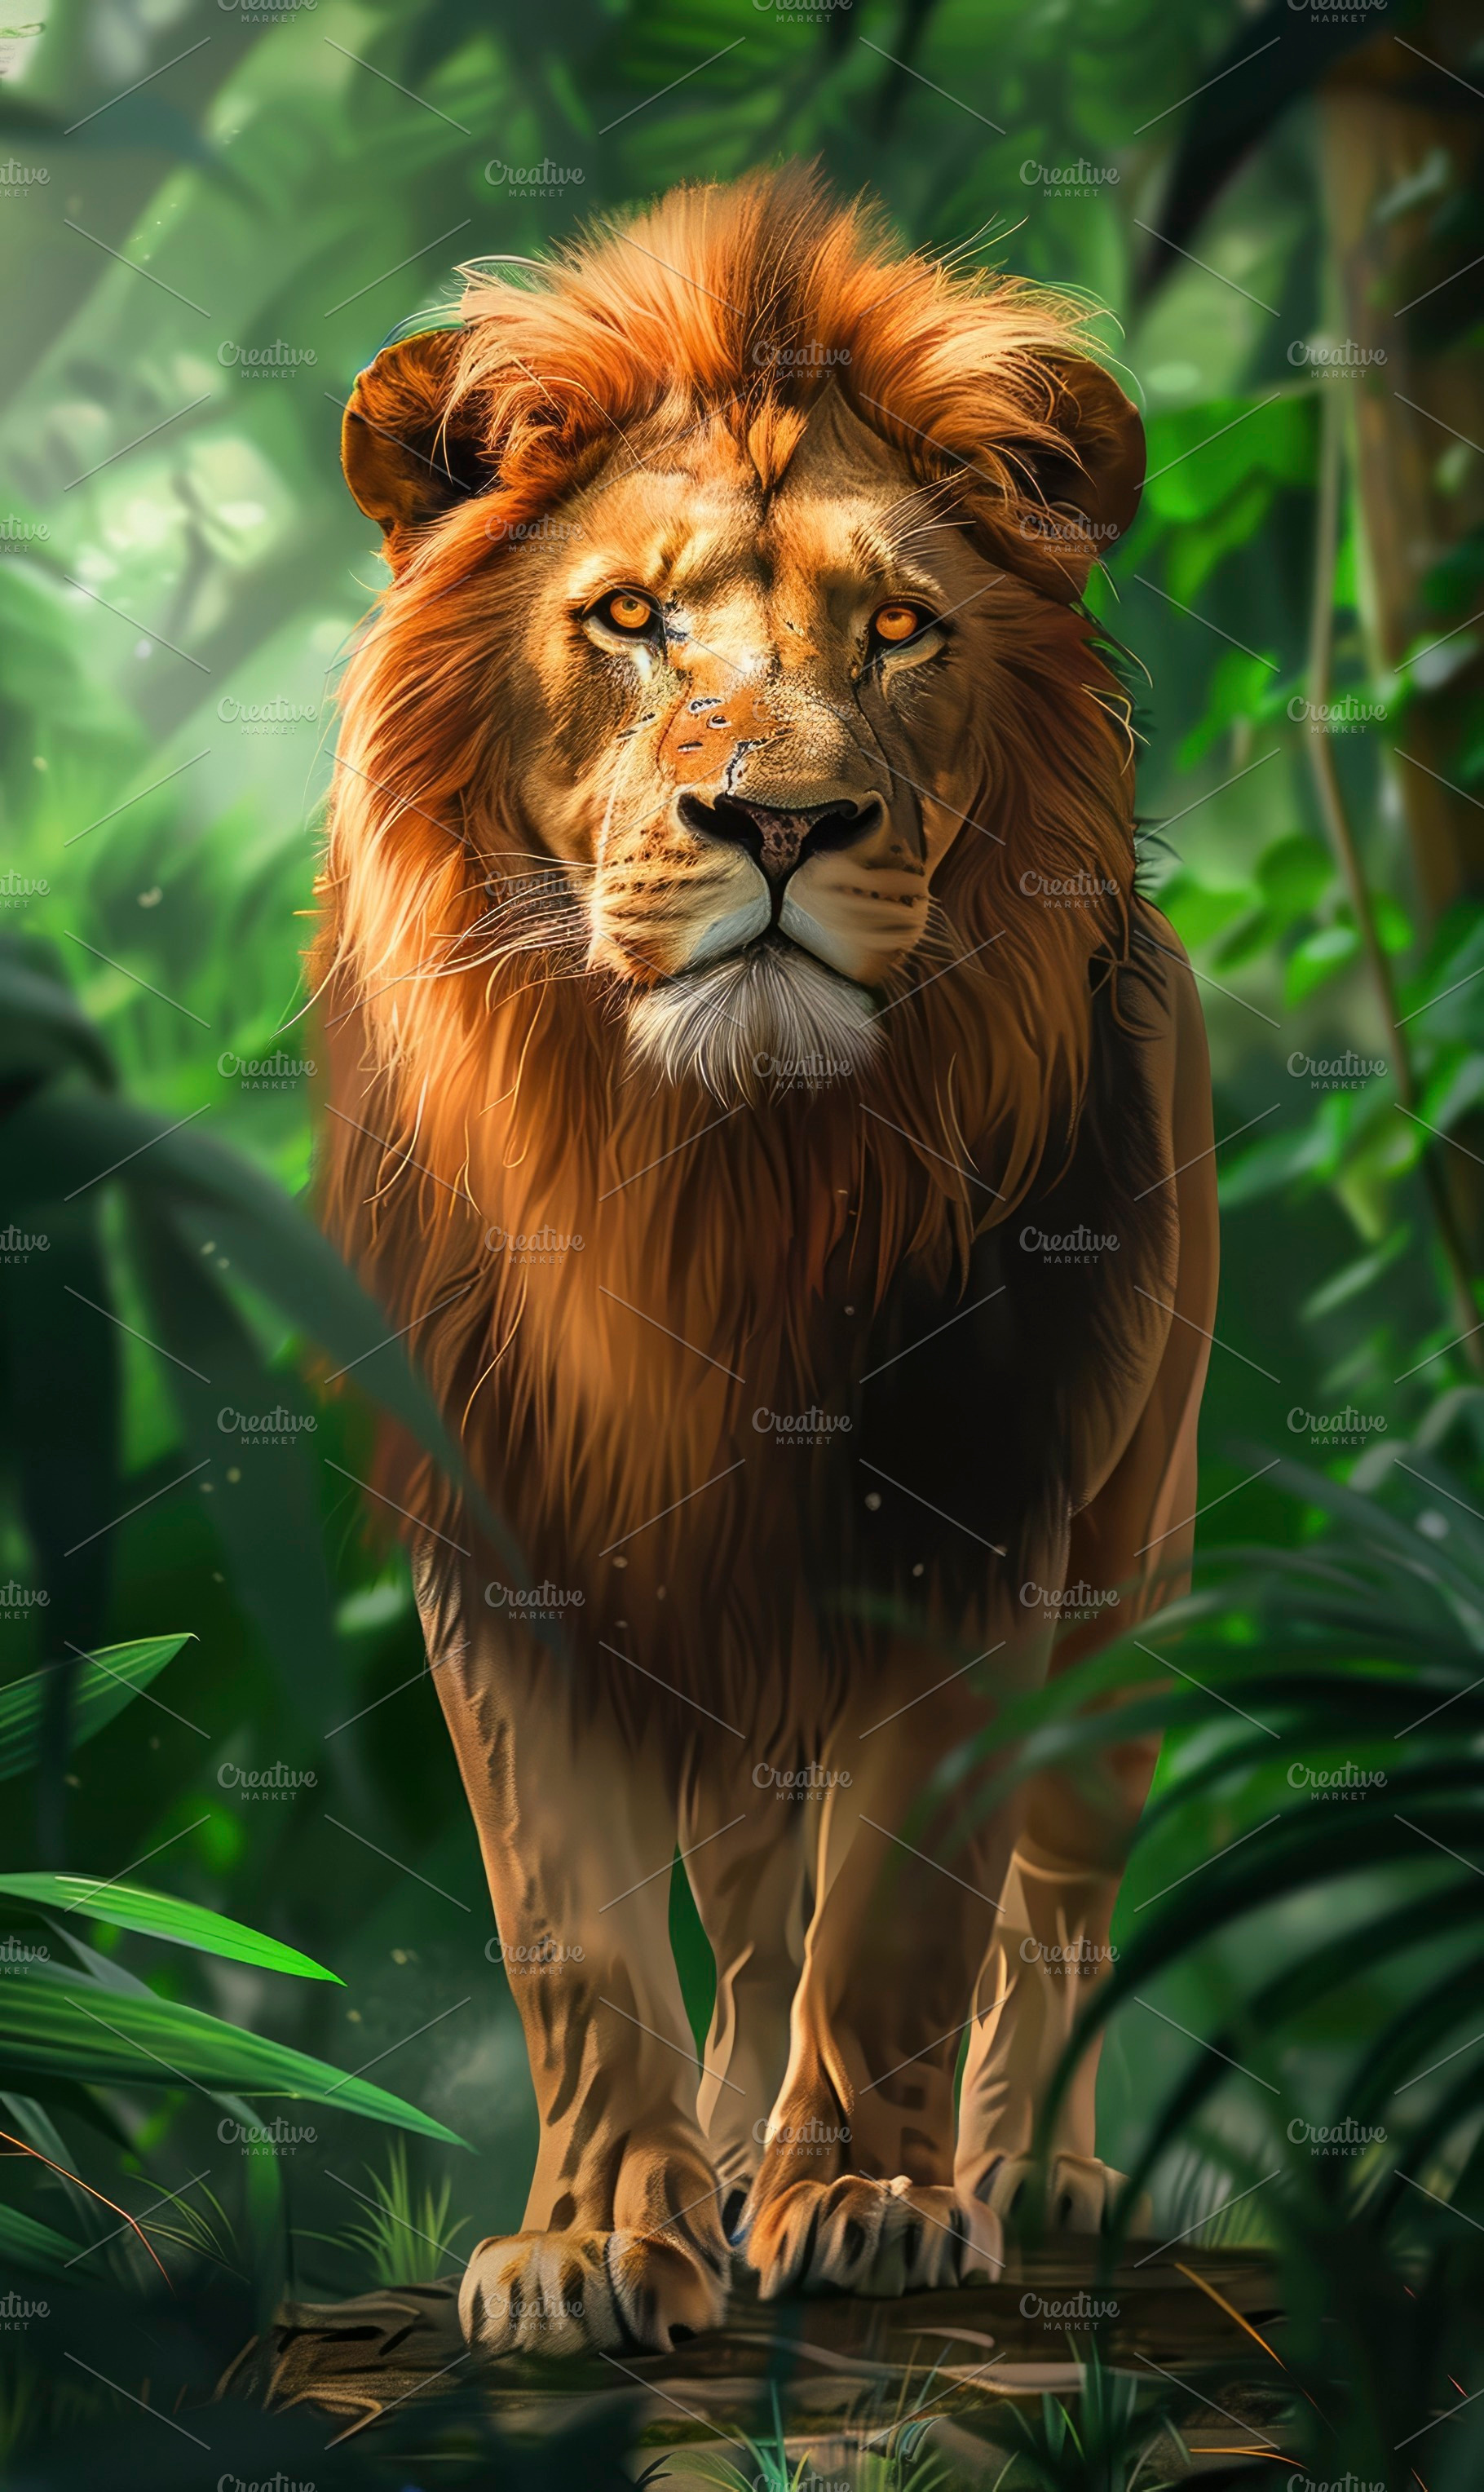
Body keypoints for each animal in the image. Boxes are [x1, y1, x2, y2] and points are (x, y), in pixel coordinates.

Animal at [315, 166, 1217, 2358]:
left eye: (898, 627)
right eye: (631, 618)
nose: (782, 821)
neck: (717, 1169)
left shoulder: (976, 1513)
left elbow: (902, 1915)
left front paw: (877, 2200)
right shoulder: (511, 1529)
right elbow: (573, 1928)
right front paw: (591, 2238)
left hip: (1134, 1561)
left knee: (1055, 1908)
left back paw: (1027, 2175)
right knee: (740, 1909)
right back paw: (727, 2152)